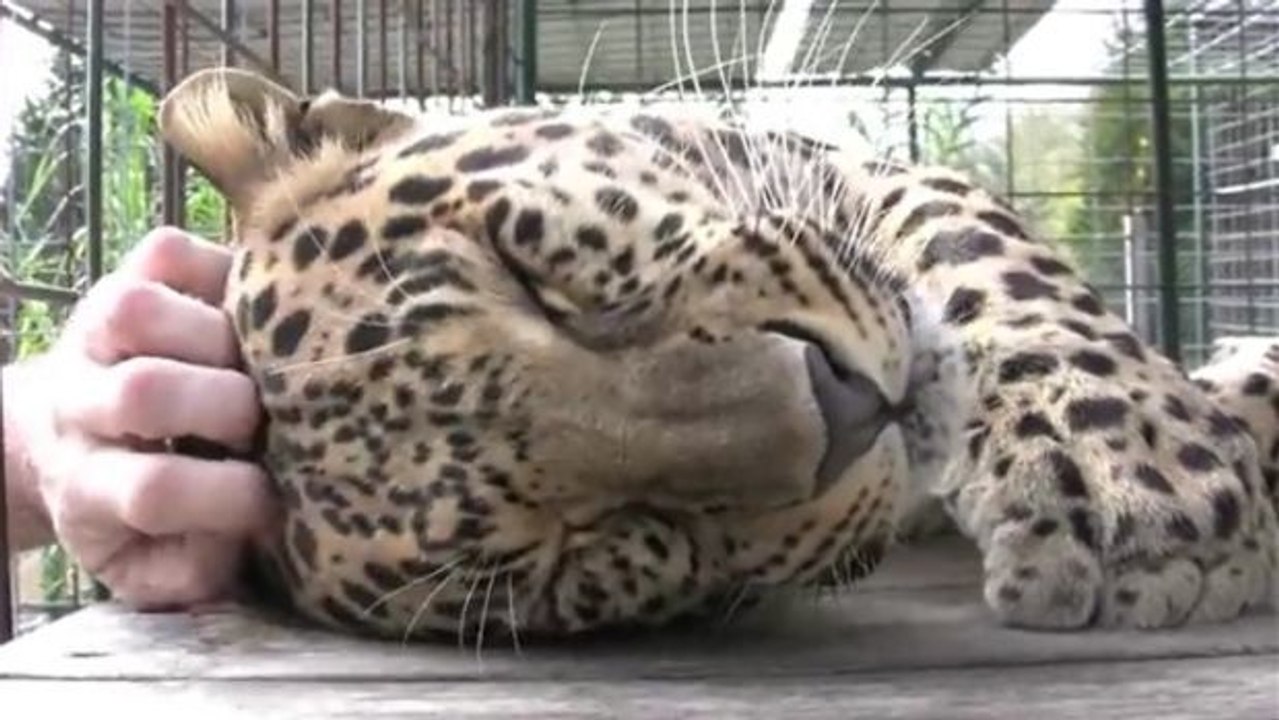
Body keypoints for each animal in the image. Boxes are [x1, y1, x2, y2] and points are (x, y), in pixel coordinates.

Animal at [154, 66, 1277, 643]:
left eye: (525, 274)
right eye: (588, 556)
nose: (848, 405)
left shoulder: (855, 175)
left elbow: (980, 253)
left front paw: (1145, 480)